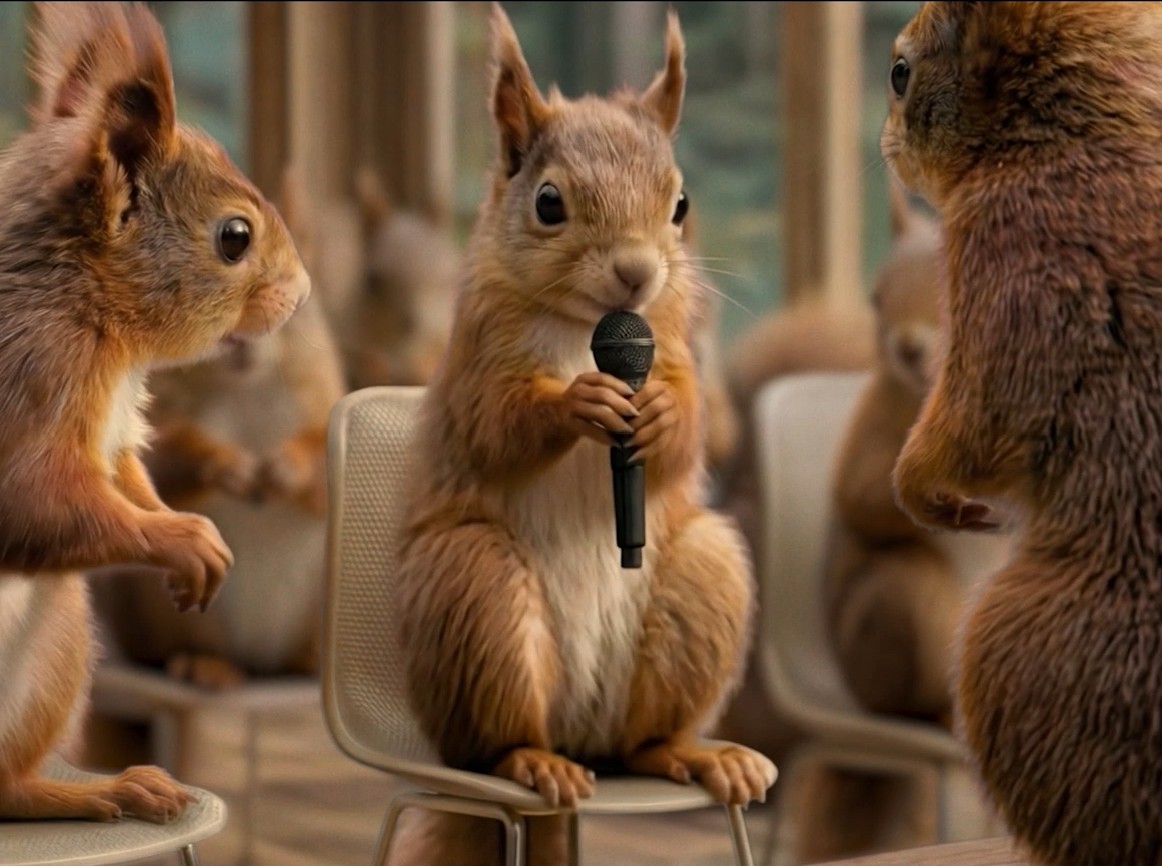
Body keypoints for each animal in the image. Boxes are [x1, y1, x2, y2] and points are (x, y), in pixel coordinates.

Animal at [0, 1, 309, 823]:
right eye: (234, 237)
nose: (301, 294)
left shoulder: (111, 433)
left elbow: (126, 478)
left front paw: (188, 531)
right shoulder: (29, 377)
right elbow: (38, 501)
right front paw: (180, 539)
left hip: (60, 641)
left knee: (6, 786)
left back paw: (97, 789)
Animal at [89, 165, 346, 692]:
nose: (242, 336)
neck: (244, 387)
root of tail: (258, 663)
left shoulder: (321, 397)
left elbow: (319, 464)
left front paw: (282, 468)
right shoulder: (158, 414)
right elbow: (166, 463)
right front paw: (229, 466)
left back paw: (309, 664)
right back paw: (204, 666)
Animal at [393, 5, 775, 863]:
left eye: (680, 204)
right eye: (548, 203)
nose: (636, 273)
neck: (584, 327)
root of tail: (581, 738)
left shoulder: (678, 347)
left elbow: (695, 430)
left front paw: (657, 415)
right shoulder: (473, 360)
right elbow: (494, 424)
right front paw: (579, 402)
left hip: (704, 581)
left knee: (644, 741)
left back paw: (692, 753)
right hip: (475, 592)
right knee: (496, 740)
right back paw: (529, 760)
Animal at [882, 3, 1162, 865]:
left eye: (900, 71)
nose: (882, 142)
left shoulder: (1011, 261)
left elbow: (969, 424)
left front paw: (924, 495)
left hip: (1003, 657)